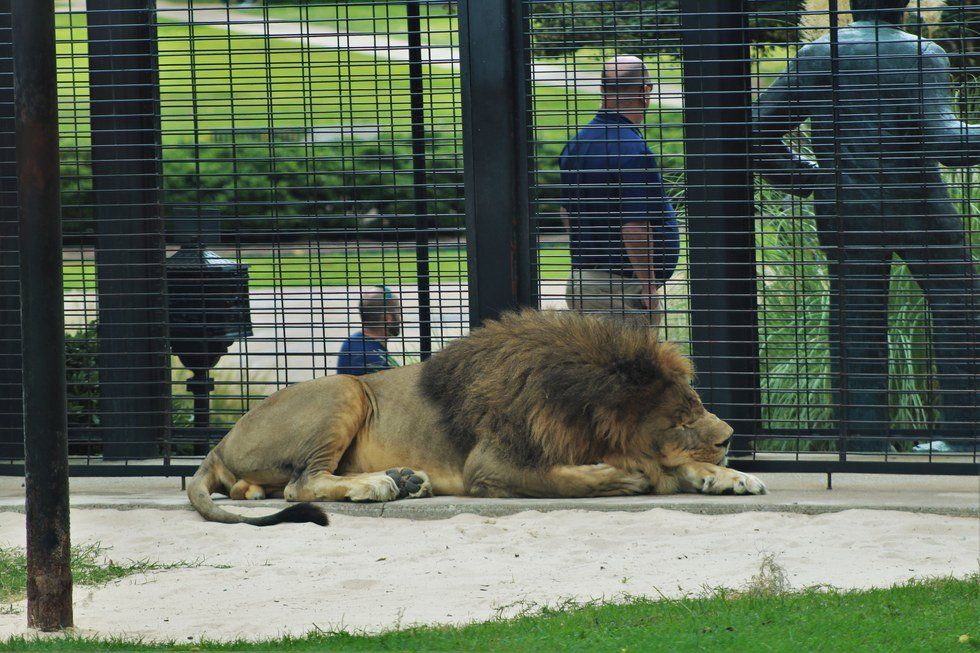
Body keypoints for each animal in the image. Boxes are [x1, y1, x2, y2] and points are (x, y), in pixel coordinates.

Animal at [188, 308, 768, 528]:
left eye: (697, 407)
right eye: (681, 419)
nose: (731, 436)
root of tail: (218, 443)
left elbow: (679, 467)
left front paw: (732, 476)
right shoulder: (489, 465)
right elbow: (560, 479)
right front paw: (618, 476)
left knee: (263, 489)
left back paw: (407, 480)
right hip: (345, 390)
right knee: (300, 484)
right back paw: (379, 485)